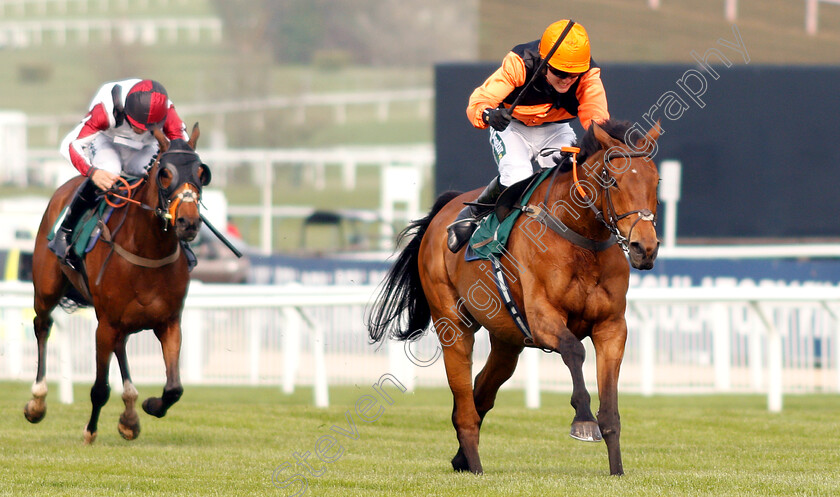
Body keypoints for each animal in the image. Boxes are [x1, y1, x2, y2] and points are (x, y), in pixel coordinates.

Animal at [25, 123, 212, 442]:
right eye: (165, 173)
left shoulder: (169, 322)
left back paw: (130, 413)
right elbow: (100, 388)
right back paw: (37, 402)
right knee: (43, 326)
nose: (188, 223)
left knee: (121, 346)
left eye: (201, 173)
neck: (148, 250)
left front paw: (150, 406)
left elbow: (174, 388)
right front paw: (90, 431)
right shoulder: (105, 324)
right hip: (47, 290)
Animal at [368, 119, 664, 472]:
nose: (644, 247)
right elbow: (574, 349)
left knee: (482, 393)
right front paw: (582, 420)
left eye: (656, 181)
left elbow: (611, 410)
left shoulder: (611, 326)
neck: (581, 238)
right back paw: (475, 465)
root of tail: (443, 213)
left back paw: (462, 458)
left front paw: (616, 471)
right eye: (612, 180)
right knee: (464, 404)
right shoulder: (542, 318)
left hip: (507, 339)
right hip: (452, 324)